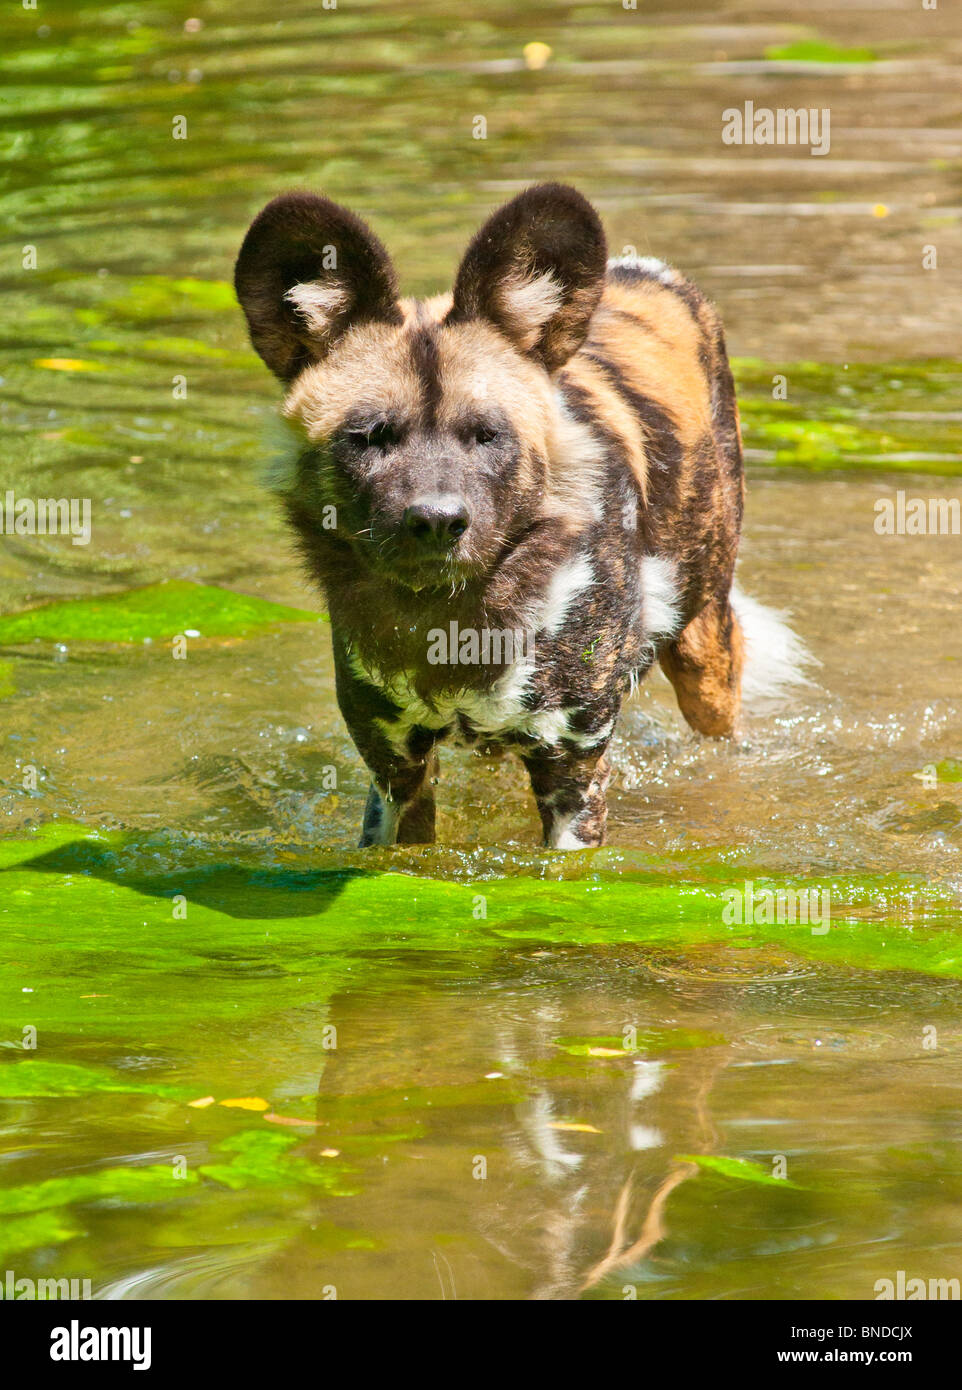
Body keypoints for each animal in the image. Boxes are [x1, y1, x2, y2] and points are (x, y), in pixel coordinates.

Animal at [236, 182, 806, 845]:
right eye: (372, 436)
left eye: (487, 434)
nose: (437, 521)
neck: (452, 622)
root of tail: (643, 271)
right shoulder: (395, 773)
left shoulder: (574, 773)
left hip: (703, 653)